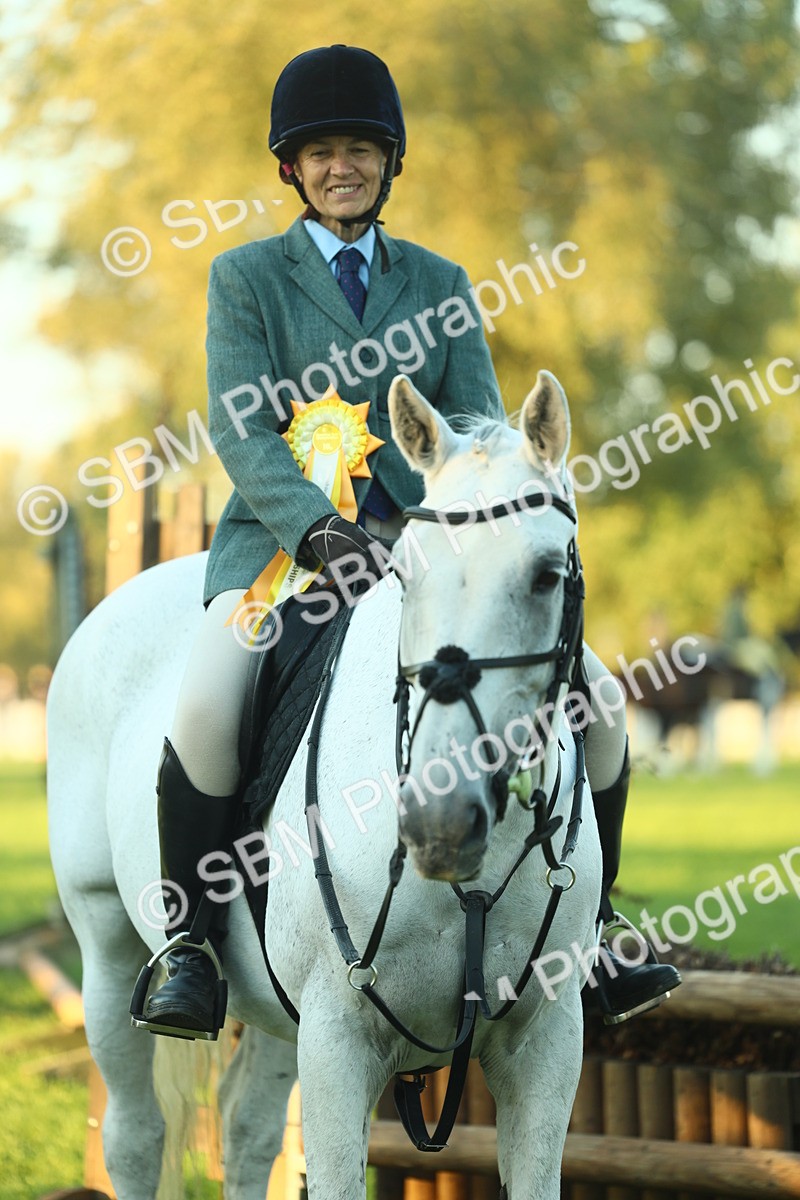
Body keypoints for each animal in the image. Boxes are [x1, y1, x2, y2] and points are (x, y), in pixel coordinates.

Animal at [46, 371, 602, 1200]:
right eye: (406, 574)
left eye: (545, 575)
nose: (439, 825)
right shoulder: (339, 1038)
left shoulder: (545, 1041)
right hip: (108, 946)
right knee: (136, 1135)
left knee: (246, 1127)